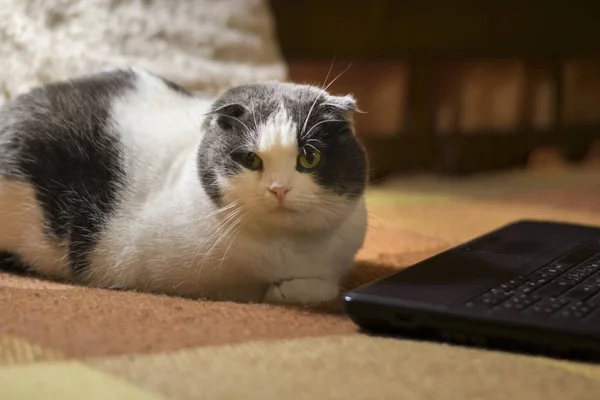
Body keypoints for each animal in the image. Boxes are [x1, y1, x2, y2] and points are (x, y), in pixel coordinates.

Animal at [0, 67, 368, 304]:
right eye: (250, 160)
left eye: (309, 158)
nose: (278, 189)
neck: (288, 249)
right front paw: (277, 292)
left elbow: (326, 287)